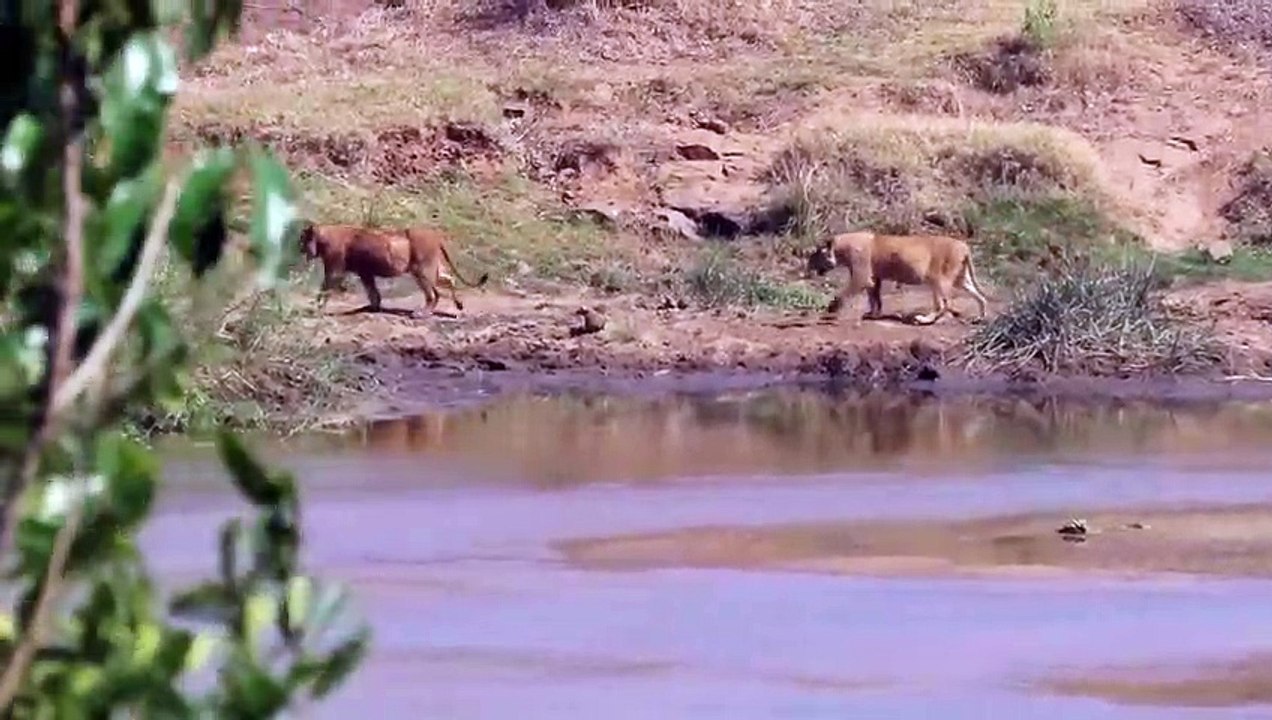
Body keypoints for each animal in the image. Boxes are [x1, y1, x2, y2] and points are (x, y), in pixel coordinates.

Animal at [298, 222, 490, 316]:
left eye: (302, 240)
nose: (299, 249)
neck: (322, 237)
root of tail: (436, 236)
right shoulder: (365, 272)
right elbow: (372, 291)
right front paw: (373, 307)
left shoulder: (334, 271)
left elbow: (324, 289)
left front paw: (316, 308)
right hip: (432, 269)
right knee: (450, 279)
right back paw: (459, 305)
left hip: (422, 271)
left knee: (434, 294)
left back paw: (422, 313)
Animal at [803, 231, 989, 325]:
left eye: (815, 255)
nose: (807, 267)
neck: (840, 249)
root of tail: (964, 246)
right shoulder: (874, 277)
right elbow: (874, 297)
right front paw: (873, 314)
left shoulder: (861, 276)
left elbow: (843, 295)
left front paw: (829, 313)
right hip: (960, 278)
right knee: (980, 296)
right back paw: (980, 317)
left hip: (938, 278)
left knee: (945, 303)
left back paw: (923, 319)